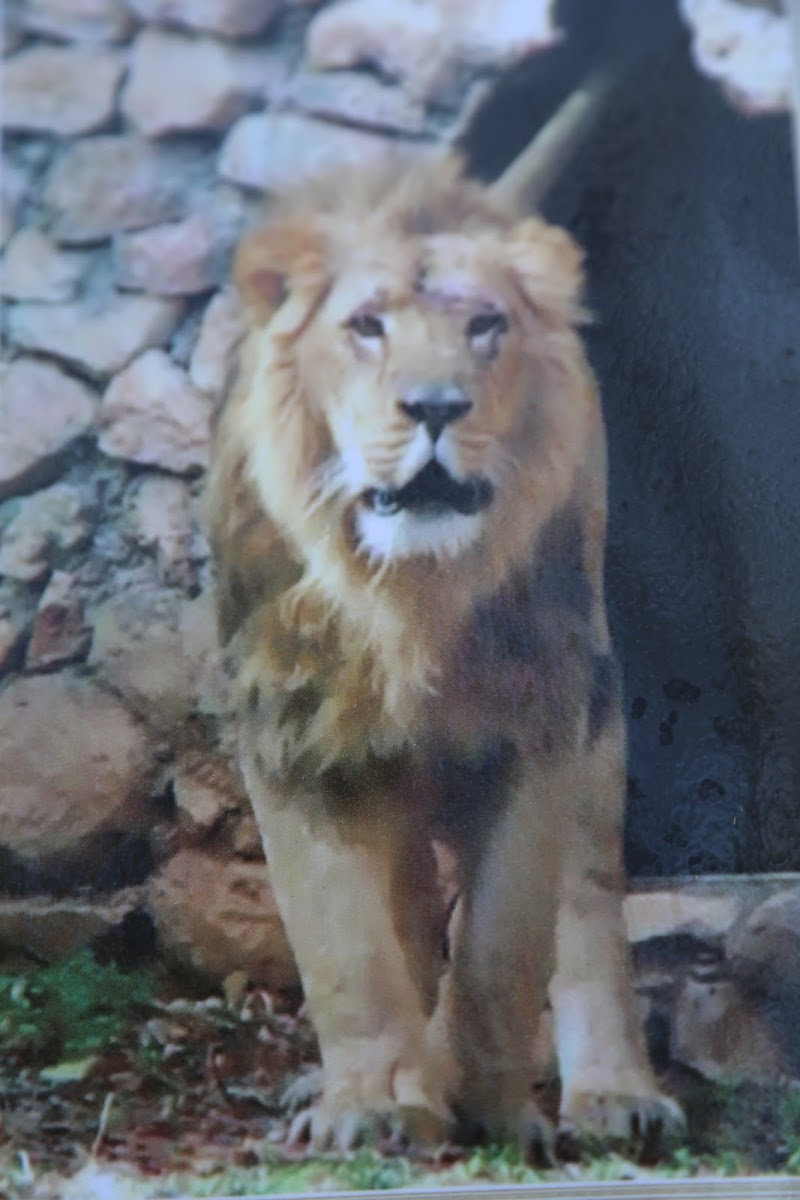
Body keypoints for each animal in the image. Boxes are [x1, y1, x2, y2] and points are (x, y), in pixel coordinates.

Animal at [206, 150, 681, 1152]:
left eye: (485, 325)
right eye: (366, 326)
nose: (434, 407)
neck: (412, 594)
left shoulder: (541, 718)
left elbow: (503, 944)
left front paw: (488, 1106)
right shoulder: (294, 728)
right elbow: (346, 945)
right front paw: (375, 1103)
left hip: (596, 701)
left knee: (586, 897)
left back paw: (615, 1095)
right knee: (409, 911)